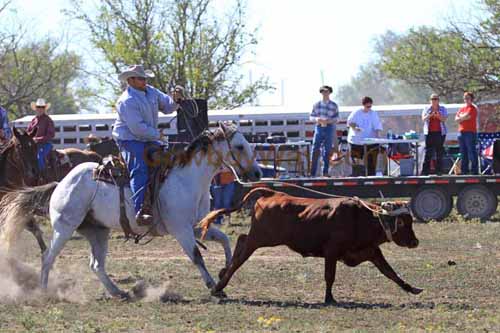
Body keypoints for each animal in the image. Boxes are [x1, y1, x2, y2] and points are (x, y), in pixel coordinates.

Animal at [0, 123, 262, 296]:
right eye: (239, 146)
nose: (258, 173)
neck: (188, 179)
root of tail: (60, 183)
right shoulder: (181, 229)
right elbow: (196, 256)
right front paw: (213, 287)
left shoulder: (196, 226)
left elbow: (225, 239)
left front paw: (225, 269)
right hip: (65, 228)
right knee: (47, 257)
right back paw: (44, 291)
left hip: (98, 231)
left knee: (96, 265)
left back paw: (118, 292)